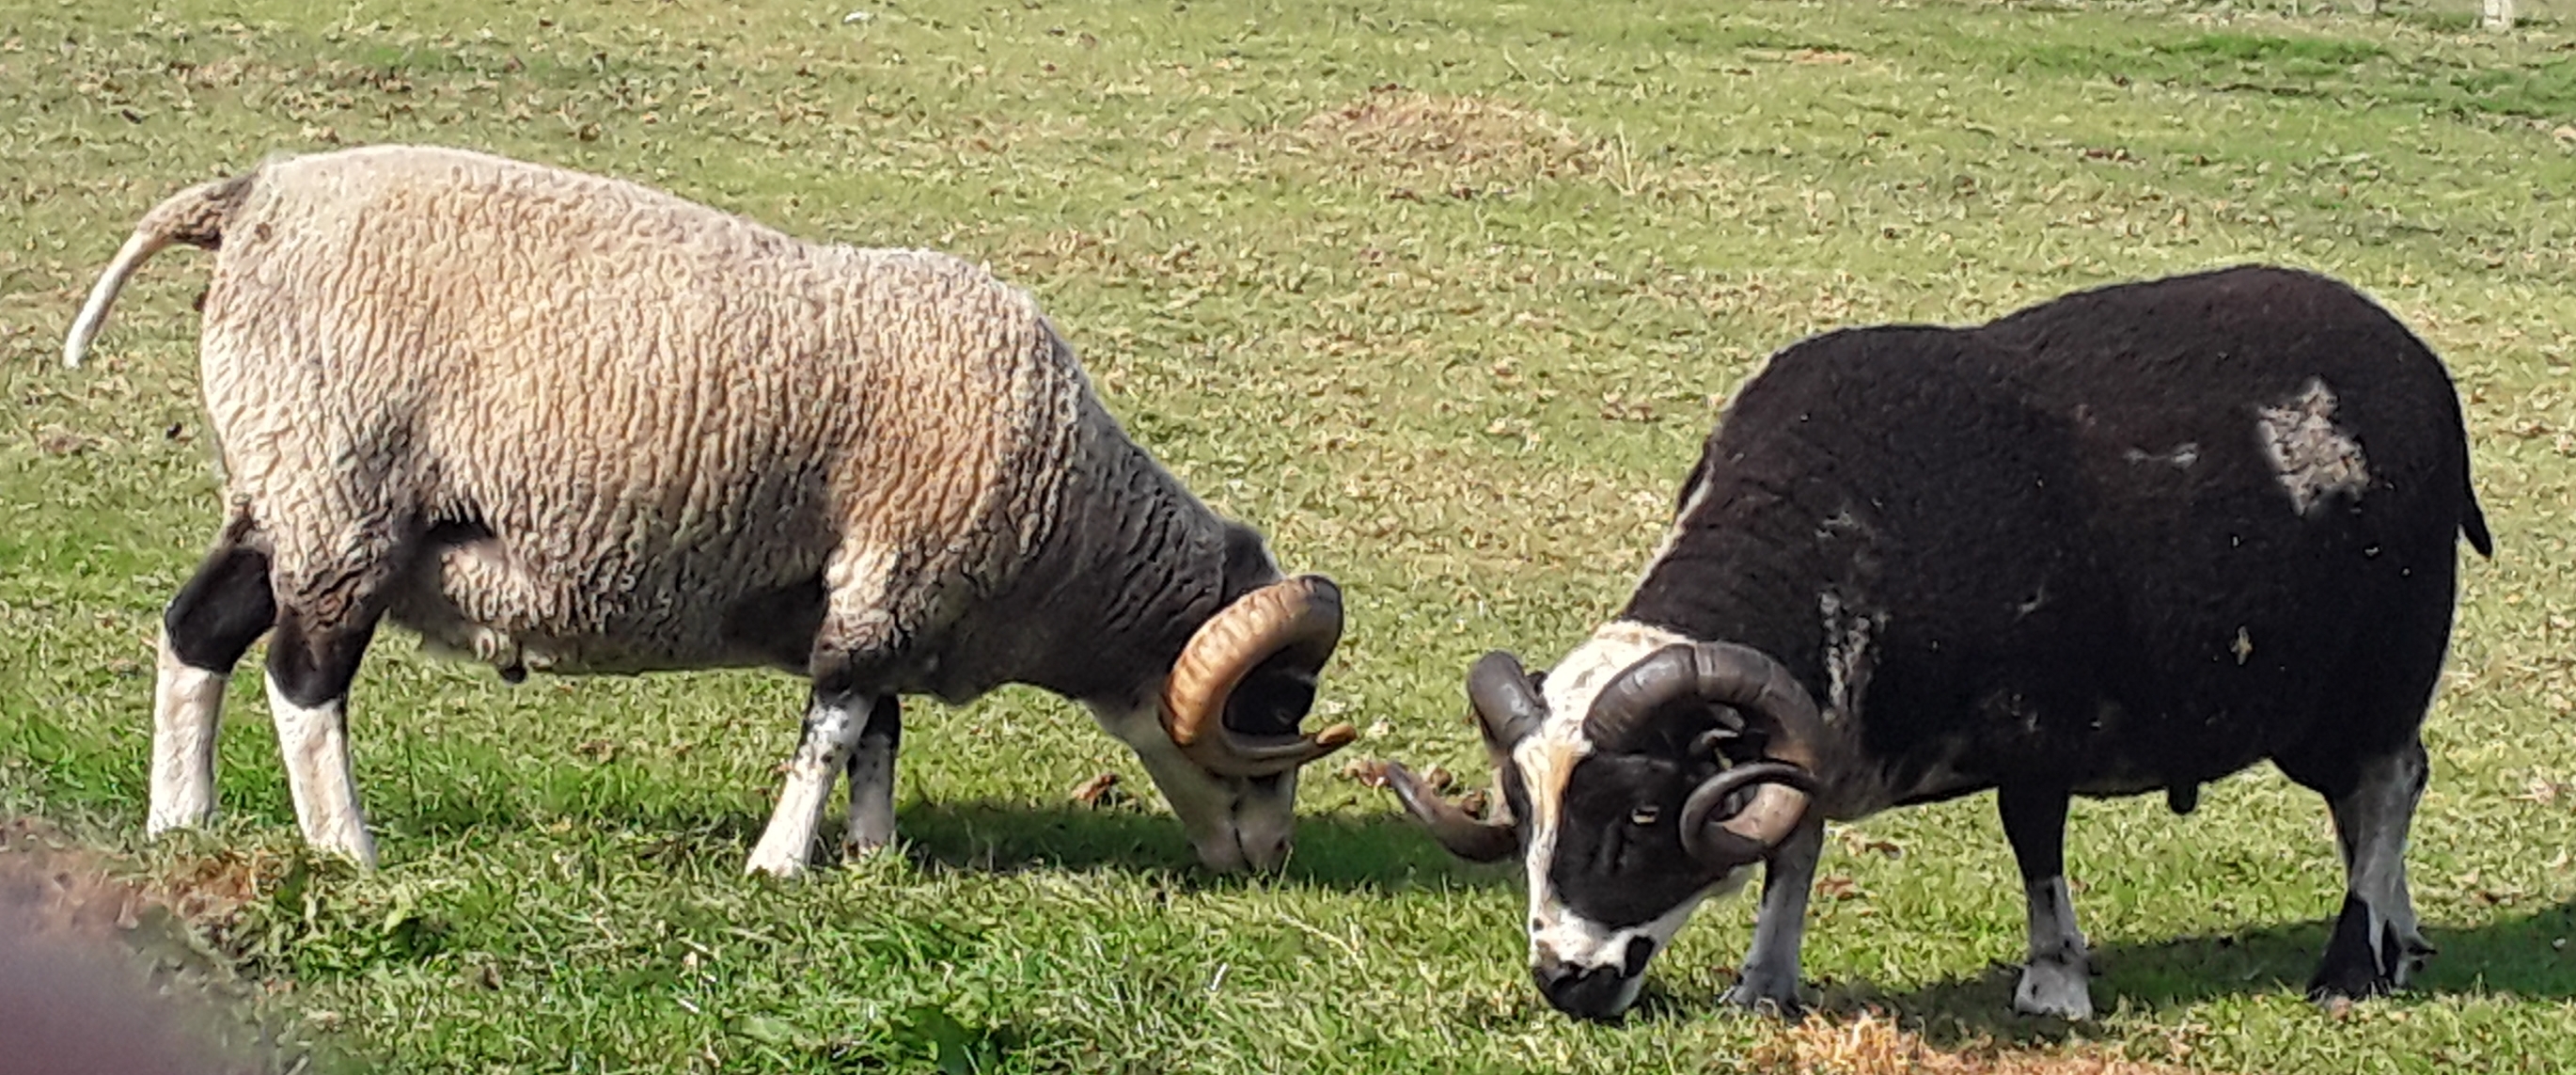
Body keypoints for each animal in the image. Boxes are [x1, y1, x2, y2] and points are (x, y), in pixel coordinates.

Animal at [62, 144, 1357, 877]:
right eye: (1274, 715)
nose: (1273, 858)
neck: (1075, 544)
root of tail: (247, 199)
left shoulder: (884, 590)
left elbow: (880, 731)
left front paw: (875, 861)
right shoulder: (893, 578)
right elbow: (833, 723)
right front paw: (779, 867)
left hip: (275, 484)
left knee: (198, 632)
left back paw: (182, 825)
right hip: (343, 500)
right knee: (304, 677)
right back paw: (347, 851)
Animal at [1383, 265, 2490, 1021]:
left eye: (1645, 814)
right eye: (1524, 810)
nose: (1565, 980)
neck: (1838, 534)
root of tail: (2420, 366)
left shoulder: (2042, 726)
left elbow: (2032, 840)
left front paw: (2053, 981)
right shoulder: (1812, 729)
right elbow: (1794, 843)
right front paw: (1764, 982)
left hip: (2385, 667)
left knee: (2390, 784)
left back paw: (2349, 965)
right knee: (2367, 802)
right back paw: (2400, 938)